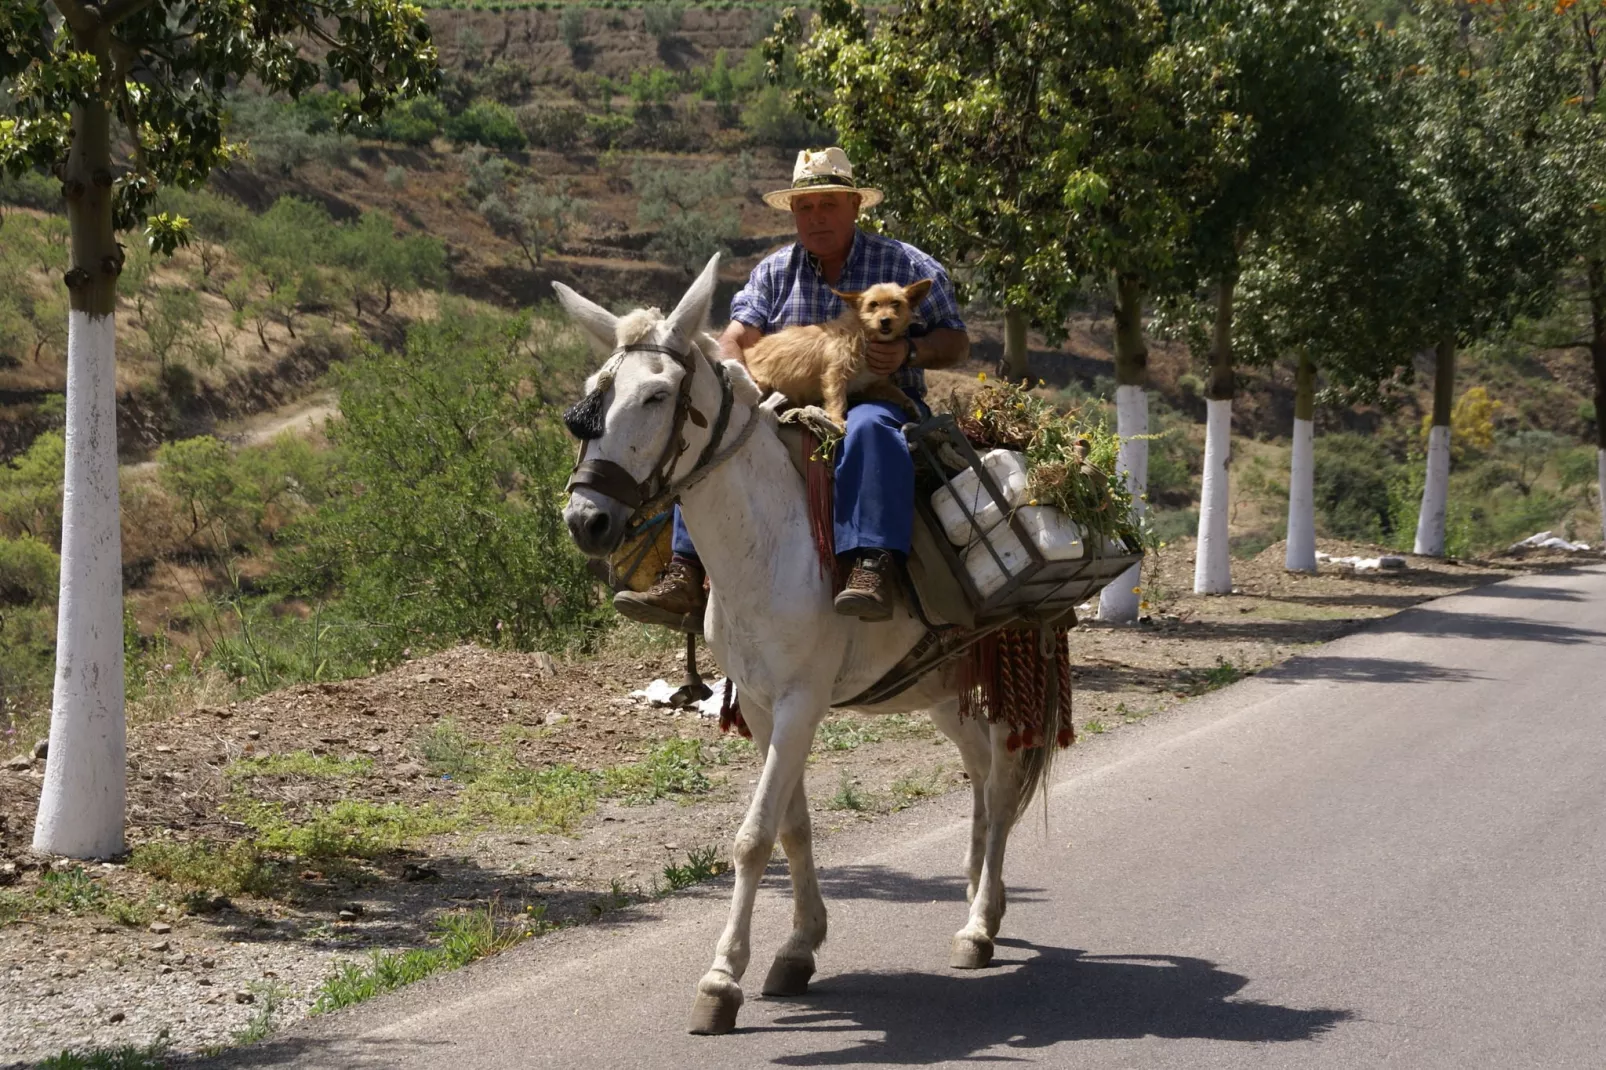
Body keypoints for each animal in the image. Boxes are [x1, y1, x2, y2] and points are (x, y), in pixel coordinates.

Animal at [738, 279, 931, 424]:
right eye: (873, 304)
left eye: (896, 303)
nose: (885, 321)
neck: (865, 337)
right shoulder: (835, 375)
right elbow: (837, 400)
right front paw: (837, 420)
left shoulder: (873, 384)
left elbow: (898, 392)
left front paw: (910, 406)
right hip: (761, 383)